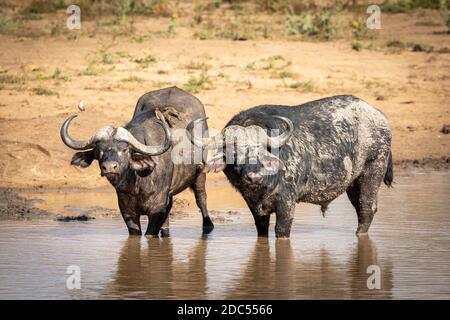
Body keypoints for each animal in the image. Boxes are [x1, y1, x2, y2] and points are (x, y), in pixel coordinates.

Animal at [60, 86, 214, 236]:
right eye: (99, 150)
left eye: (125, 150)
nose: (109, 167)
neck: (137, 183)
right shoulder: (127, 210)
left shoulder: (157, 207)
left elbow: (150, 234)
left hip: (200, 173)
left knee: (201, 197)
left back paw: (208, 225)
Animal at [188, 95, 392, 238]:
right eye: (234, 152)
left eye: (261, 150)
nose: (254, 177)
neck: (263, 186)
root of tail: (378, 116)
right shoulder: (254, 207)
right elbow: (262, 229)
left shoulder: (286, 202)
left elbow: (281, 230)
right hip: (352, 183)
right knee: (360, 207)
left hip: (373, 170)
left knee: (367, 208)